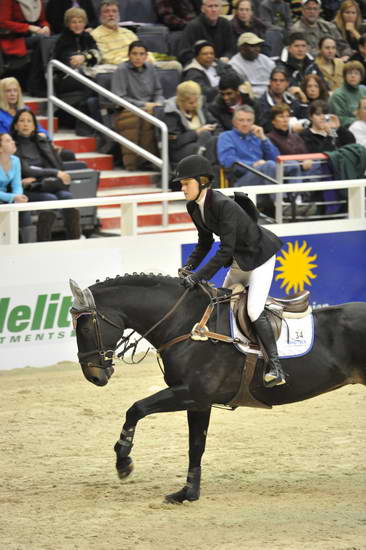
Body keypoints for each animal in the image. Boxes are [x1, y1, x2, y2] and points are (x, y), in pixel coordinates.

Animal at [69, 276, 366, 504]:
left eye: (84, 327)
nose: (94, 376)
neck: (186, 325)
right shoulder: (199, 402)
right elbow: (195, 446)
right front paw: (187, 493)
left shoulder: (191, 393)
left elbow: (136, 409)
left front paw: (123, 463)